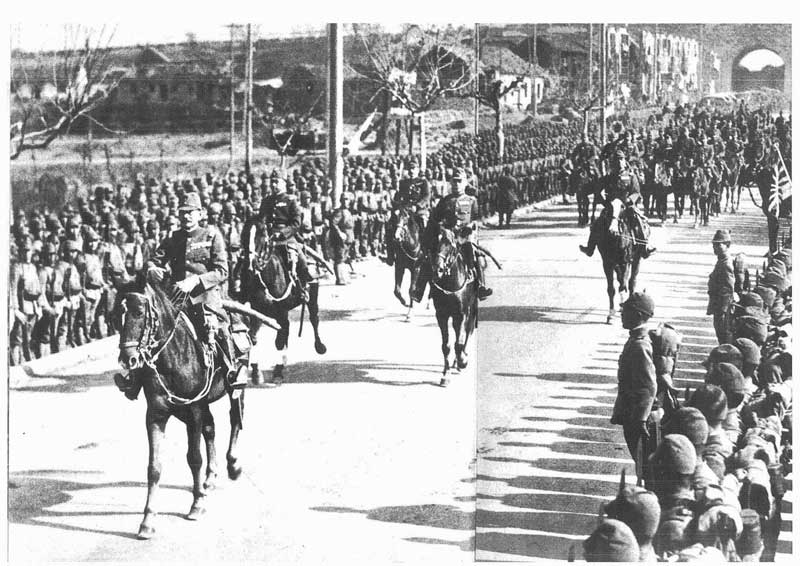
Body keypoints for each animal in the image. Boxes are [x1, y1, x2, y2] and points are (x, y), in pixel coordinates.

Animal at [114, 278, 242, 544]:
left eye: (139, 312)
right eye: (115, 316)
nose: (127, 360)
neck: (172, 358)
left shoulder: (193, 411)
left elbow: (194, 458)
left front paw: (196, 505)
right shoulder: (155, 415)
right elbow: (154, 467)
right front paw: (147, 521)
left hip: (235, 386)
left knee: (235, 419)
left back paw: (233, 465)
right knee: (210, 429)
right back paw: (210, 477)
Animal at [242, 240, 326, 386]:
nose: (251, 264)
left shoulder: (281, 312)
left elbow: (279, 341)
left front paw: (277, 373)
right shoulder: (256, 311)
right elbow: (253, 338)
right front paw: (256, 373)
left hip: (312, 296)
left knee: (314, 319)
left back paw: (319, 346)